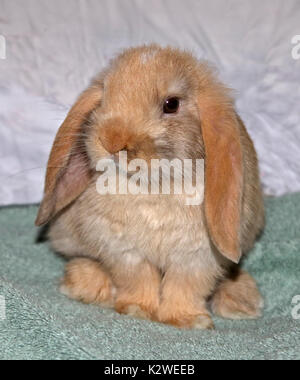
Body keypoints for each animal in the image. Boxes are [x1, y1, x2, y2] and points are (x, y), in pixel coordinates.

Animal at [35, 45, 264, 330]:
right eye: (105, 95)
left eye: (171, 104)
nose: (111, 140)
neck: (152, 186)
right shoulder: (126, 252)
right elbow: (139, 280)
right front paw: (137, 310)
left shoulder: (196, 258)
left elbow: (184, 288)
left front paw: (187, 320)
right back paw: (84, 283)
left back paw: (242, 300)